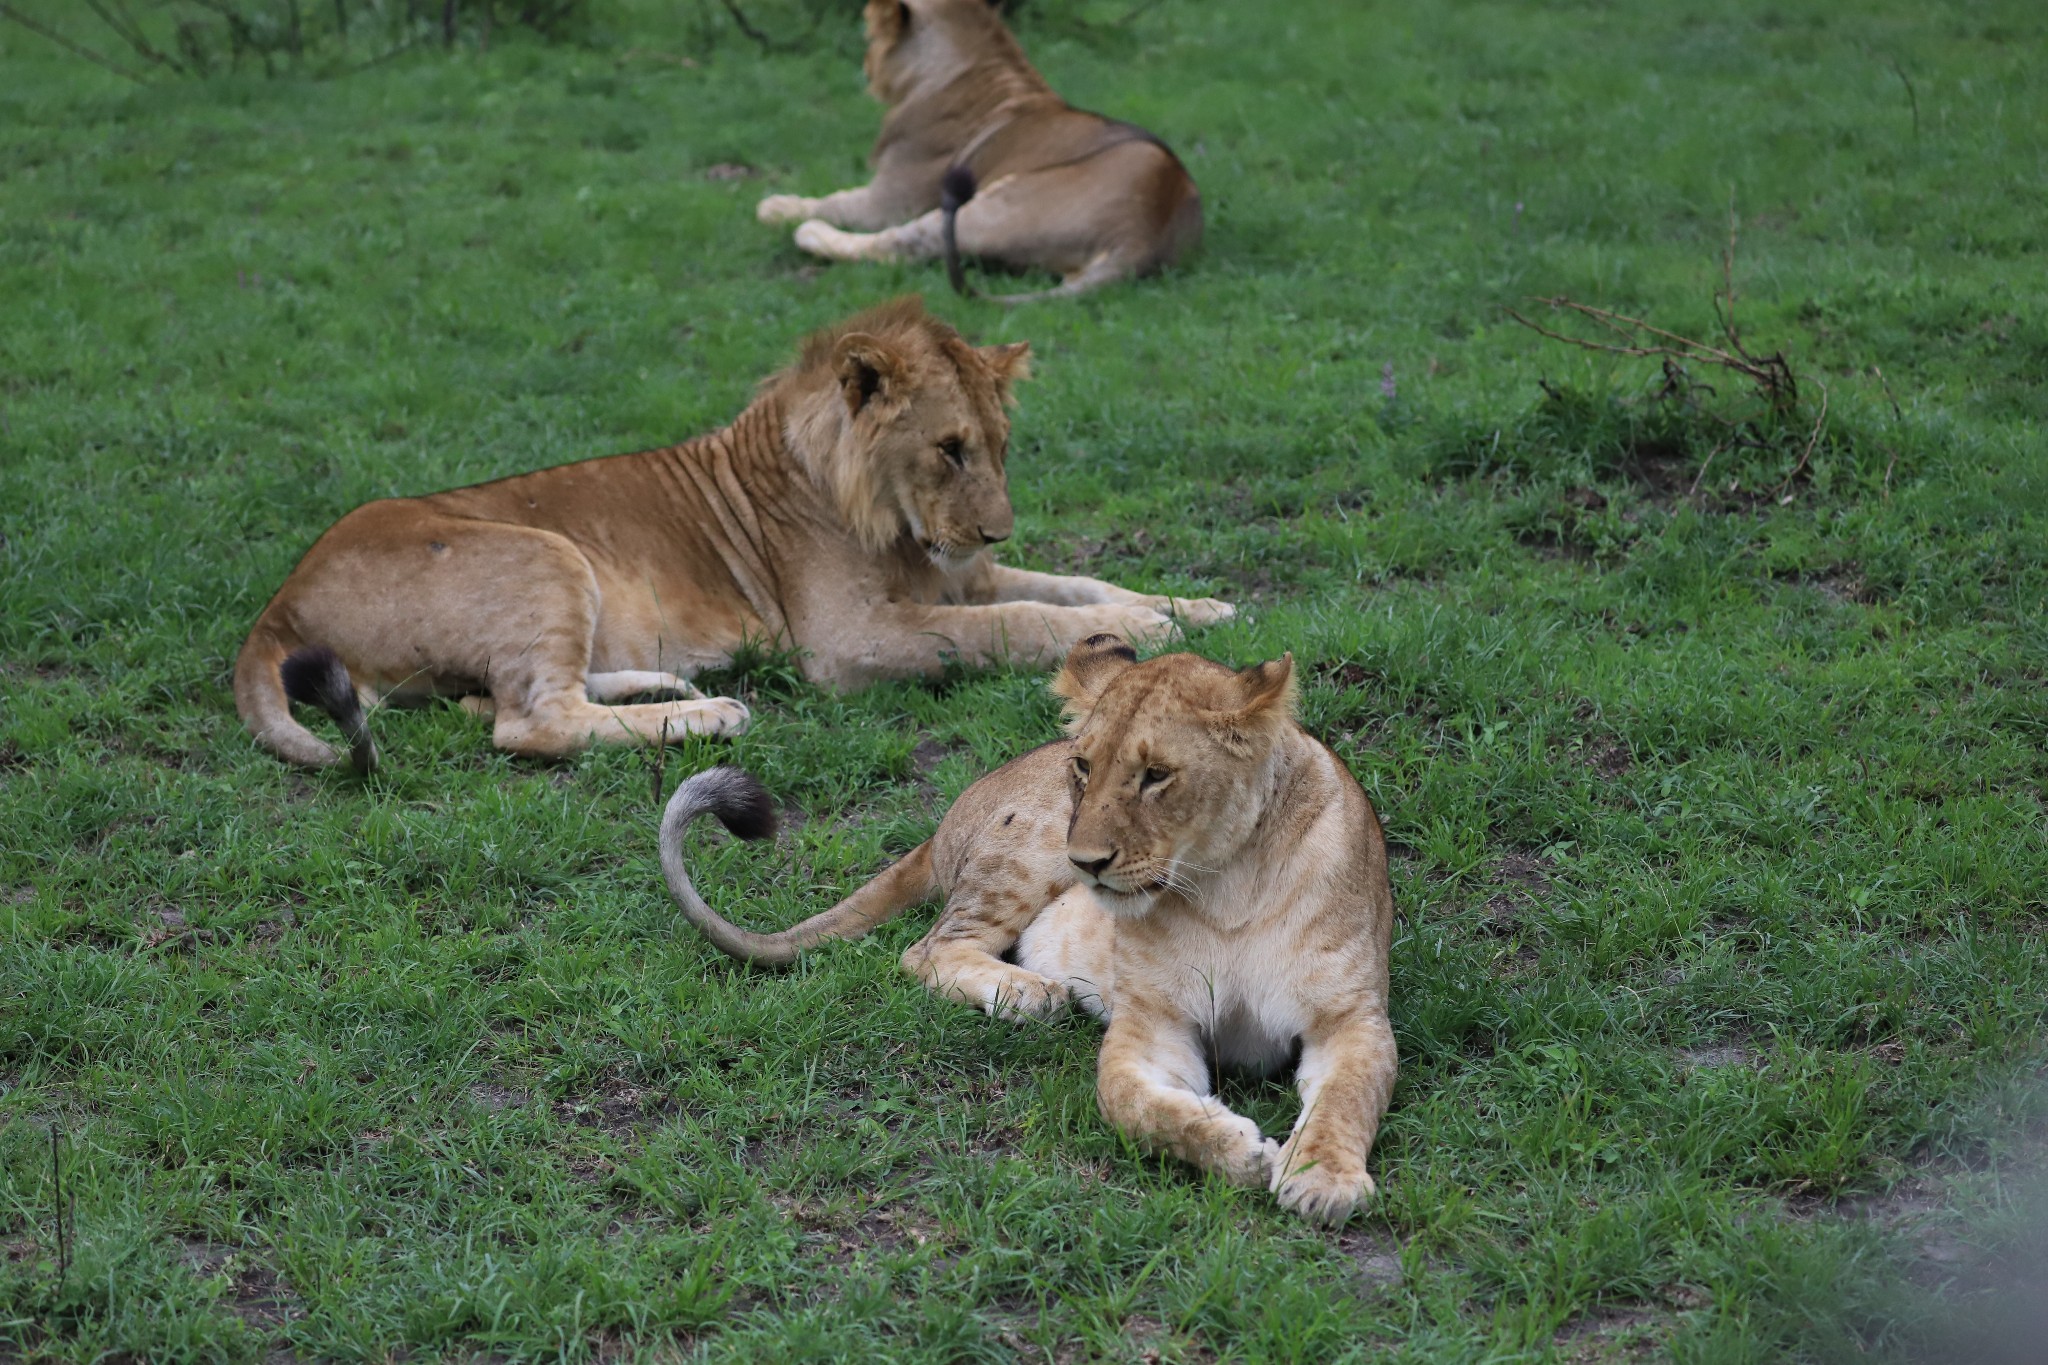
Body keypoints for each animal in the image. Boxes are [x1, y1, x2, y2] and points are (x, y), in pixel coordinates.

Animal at [235, 296, 1228, 769]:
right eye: (948, 448)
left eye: (1000, 446)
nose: (994, 529)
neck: (896, 523)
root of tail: (277, 603)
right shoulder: (851, 642)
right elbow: (1018, 623)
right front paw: (1145, 631)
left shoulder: (963, 575)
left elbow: (1079, 586)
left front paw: (1194, 609)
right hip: (544, 552)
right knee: (529, 721)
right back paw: (712, 711)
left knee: (510, 699)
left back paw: (672, 682)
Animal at [757, 0, 1196, 300]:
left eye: (871, 38)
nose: (865, 64)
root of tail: (1140, 236)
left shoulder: (890, 199)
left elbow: (834, 200)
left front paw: (778, 206)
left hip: (985, 209)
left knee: (899, 246)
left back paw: (811, 234)